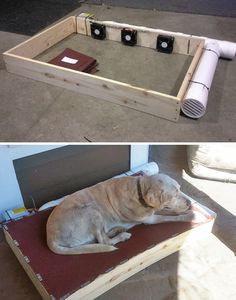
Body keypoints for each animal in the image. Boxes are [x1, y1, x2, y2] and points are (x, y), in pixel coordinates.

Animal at [46, 172, 195, 254]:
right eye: (174, 195)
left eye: (180, 189)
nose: (189, 203)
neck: (139, 191)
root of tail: (50, 237)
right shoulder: (150, 219)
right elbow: (170, 217)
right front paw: (190, 216)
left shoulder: (153, 211)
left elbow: (170, 211)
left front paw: (186, 210)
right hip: (91, 210)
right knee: (104, 241)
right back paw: (122, 235)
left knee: (100, 238)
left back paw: (117, 229)